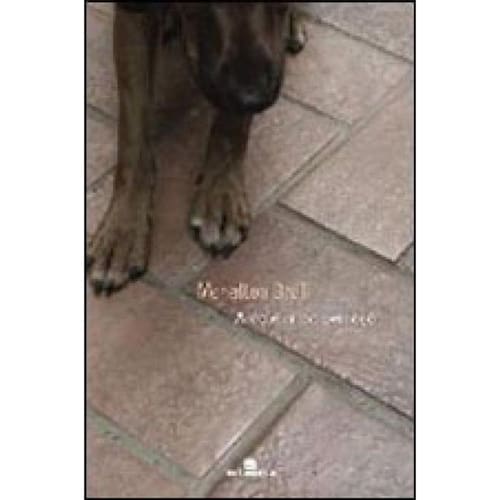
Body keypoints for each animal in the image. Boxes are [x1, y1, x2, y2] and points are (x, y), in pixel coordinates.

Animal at [87, 2, 307, 294]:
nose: (255, 97)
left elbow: (231, 123)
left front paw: (221, 192)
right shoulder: (132, 15)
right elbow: (133, 131)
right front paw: (123, 229)